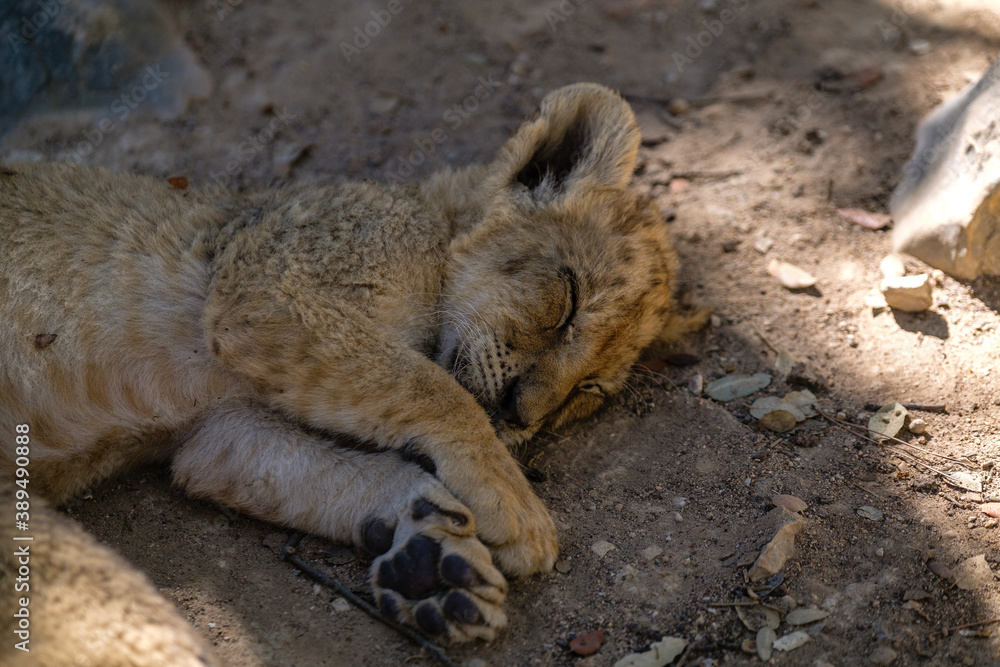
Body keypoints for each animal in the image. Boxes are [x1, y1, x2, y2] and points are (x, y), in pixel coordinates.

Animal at [0, 83, 701, 657]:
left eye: (587, 392)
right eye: (567, 300)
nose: (520, 412)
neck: (432, 232)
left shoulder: (219, 430)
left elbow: (329, 472)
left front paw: (430, 561)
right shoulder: (266, 291)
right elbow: (435, 389)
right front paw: (516, 508)